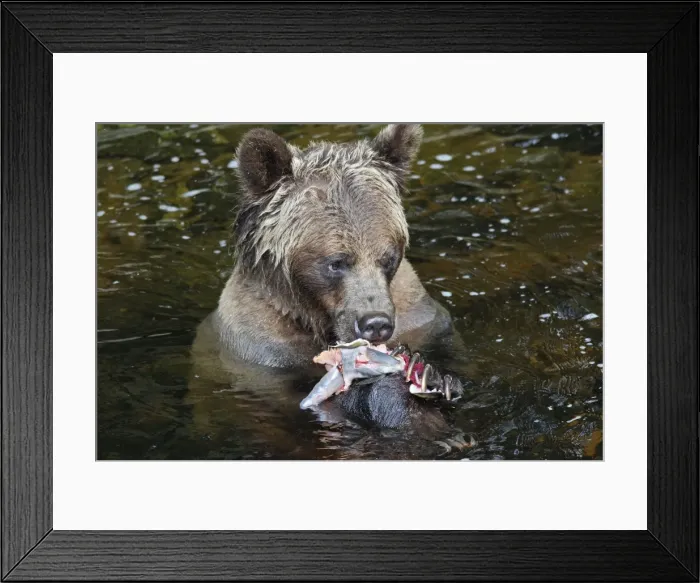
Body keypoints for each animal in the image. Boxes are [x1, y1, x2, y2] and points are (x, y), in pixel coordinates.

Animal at [190, 124, 468, 444]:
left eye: (387, 257)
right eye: (336, 262)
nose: (376, 323)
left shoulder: (418, 316)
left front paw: (433, 376)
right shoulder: (261, 351)